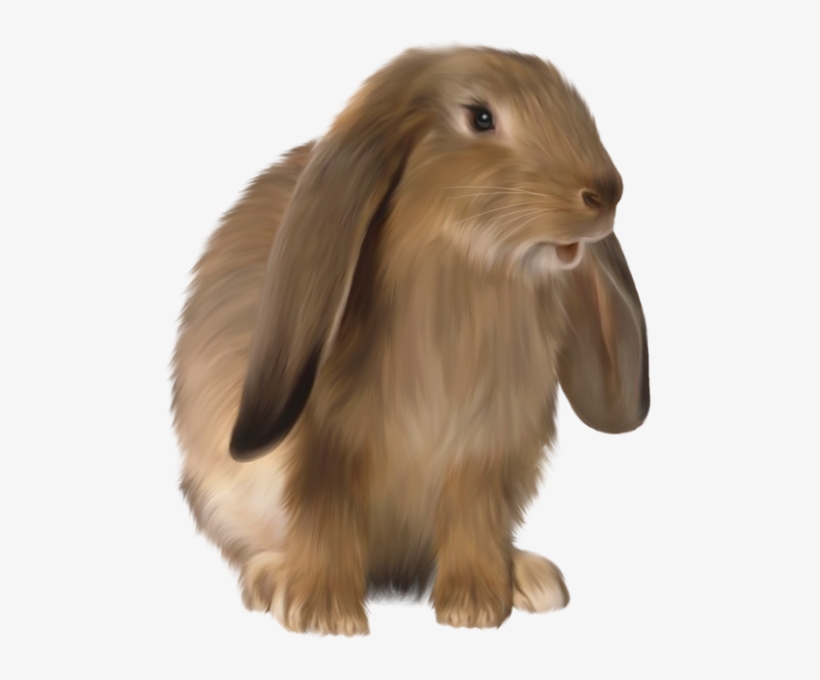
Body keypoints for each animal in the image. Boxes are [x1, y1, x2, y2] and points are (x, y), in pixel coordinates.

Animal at [171, 46, 649, 636]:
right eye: (481, 117)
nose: (606, 192)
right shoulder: (325, 451)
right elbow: (326, 516)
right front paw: (323, 614)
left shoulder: (486, 452)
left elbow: (473, 519)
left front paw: (474, 605)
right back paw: (271, 579)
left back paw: (531, 577)